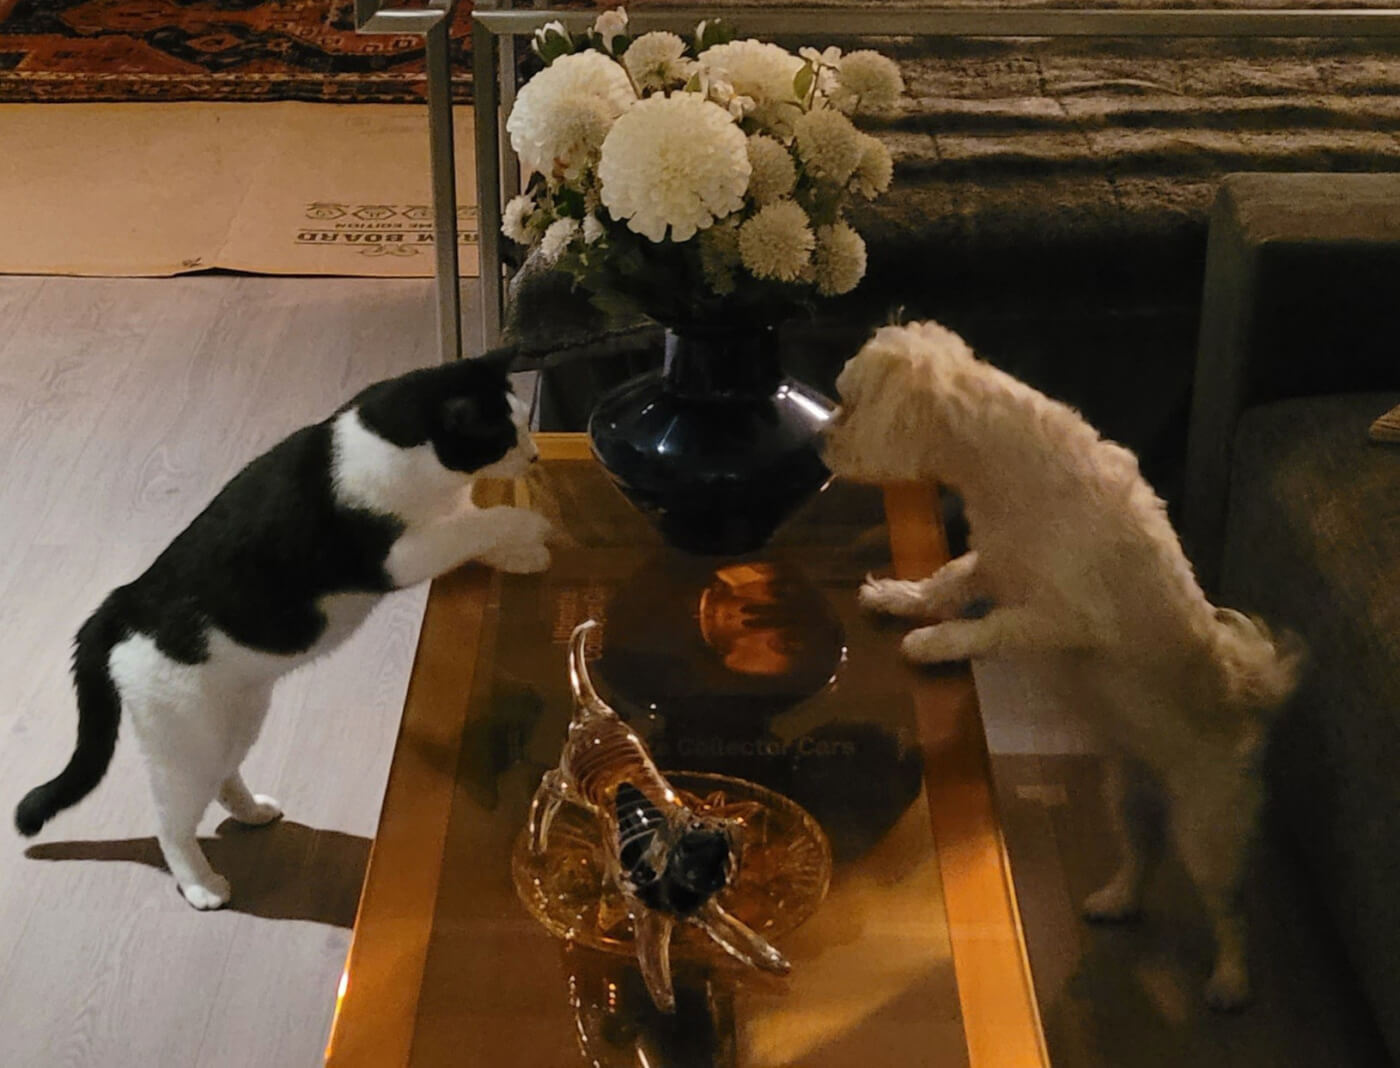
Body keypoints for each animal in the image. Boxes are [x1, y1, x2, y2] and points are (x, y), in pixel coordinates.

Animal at [17, 355, 551, 907]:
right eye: (504, 436)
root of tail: (123, 602)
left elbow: (472, 531)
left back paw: (252, 812)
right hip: (186, 739)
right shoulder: (402, 554)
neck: (387, 445)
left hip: (236, 715)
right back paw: (201, 884)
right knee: (171, 821)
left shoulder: (440, 520)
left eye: (523, 424)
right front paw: (530, 527)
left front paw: (522, 556)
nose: (534, 456)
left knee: (223, 775)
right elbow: (475, 528)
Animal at [817, 319, 1299, 1013]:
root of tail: (1249, 700)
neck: (1006, 466)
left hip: (1209, 826)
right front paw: (898, 597)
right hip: (1126, 794)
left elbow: (988, 627)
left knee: (1227, 907)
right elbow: (945, 579)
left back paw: (1230, 980)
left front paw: (932, 642)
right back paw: (1116, 899)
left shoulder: (1061, 617)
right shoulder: (993, 560)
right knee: (1141, 855)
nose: (822, 438)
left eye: (850, 404)